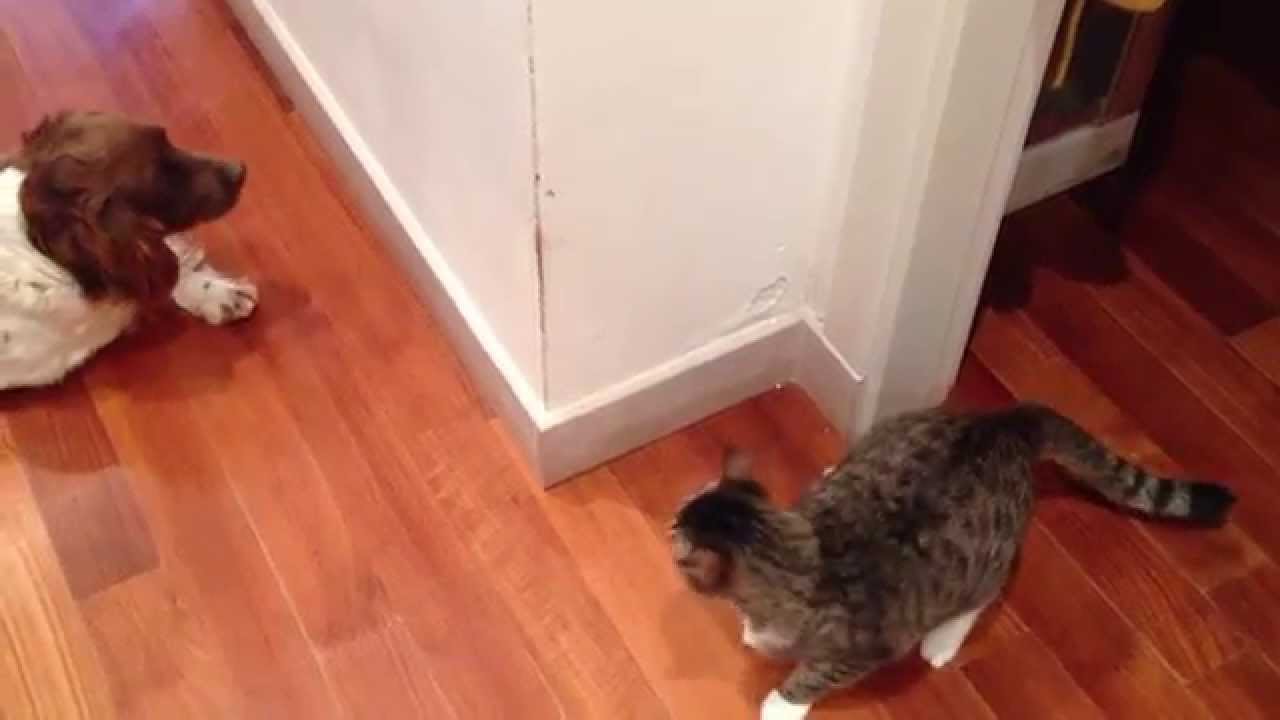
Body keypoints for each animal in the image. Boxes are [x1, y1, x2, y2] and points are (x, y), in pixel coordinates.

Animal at [675, 399, 1233, 712]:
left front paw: (780, 704)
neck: (798, 553)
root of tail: (1007, 422)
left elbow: (810, 678)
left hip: (988, 560)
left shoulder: (864, 651)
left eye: (678, 541)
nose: (671, 523)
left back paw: (942, 640)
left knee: (983, 594)